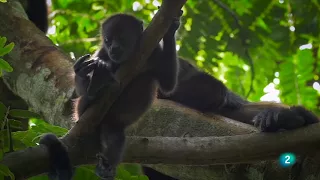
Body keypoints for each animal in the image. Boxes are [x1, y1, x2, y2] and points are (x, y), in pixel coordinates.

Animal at [73, 11, 182, 180]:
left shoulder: (154, 52)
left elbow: (168, 84)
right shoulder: (102, 53)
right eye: (108, 40)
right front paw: (81, 70)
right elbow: (80, 90)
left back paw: (106, 166)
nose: (113, 48)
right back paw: (96, 88)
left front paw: (170, 30)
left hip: (112, 124)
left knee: (115, 137)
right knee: (84, 98)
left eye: (122, 38)